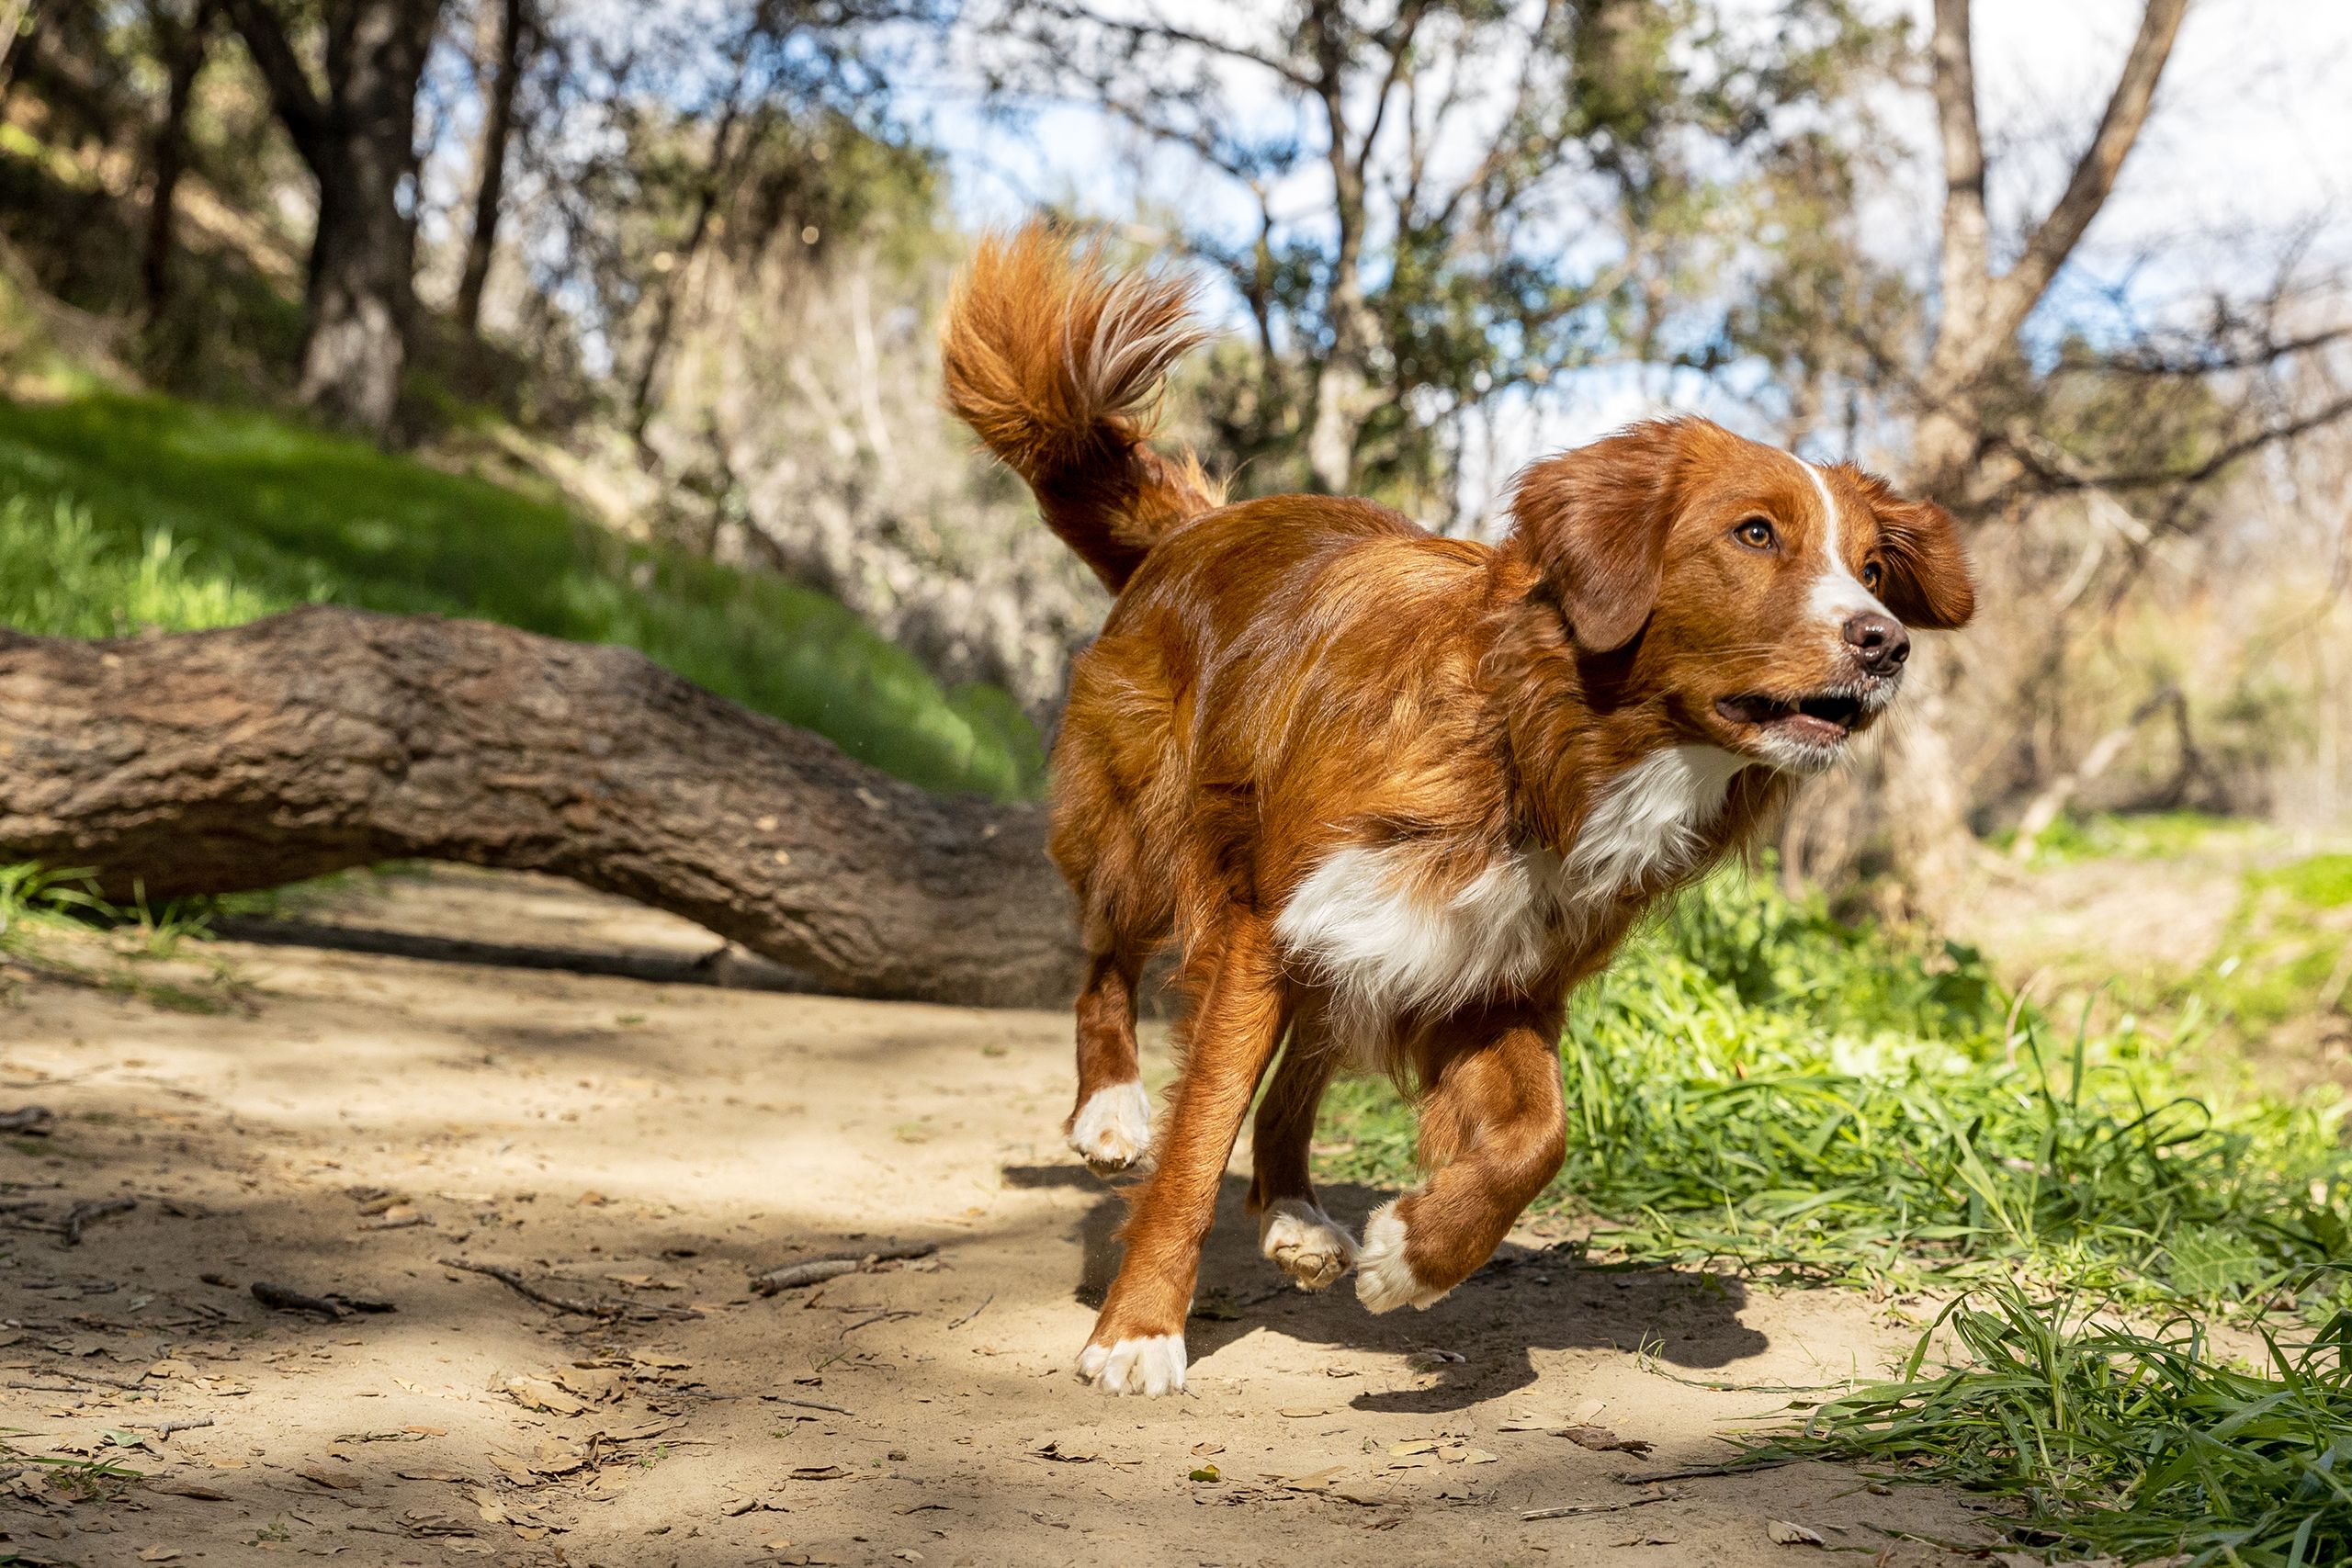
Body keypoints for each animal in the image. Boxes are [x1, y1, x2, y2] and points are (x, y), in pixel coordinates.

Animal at [945, 220, 1975, 1401]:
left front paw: (1416, 1255)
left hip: (1353, 944)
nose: (1885, 645)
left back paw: (1296, 1211)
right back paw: (1111, 1107)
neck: (1536, 744)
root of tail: (1200, 527)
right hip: (1147, 828)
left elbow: (1538, 1139)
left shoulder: (1491, 973)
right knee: (1106, 959)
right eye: (1754, 534)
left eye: (1872, 568)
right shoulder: (1267, 924)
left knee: (1300, 1069)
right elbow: (1198, 1140)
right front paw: (1140, 1330)